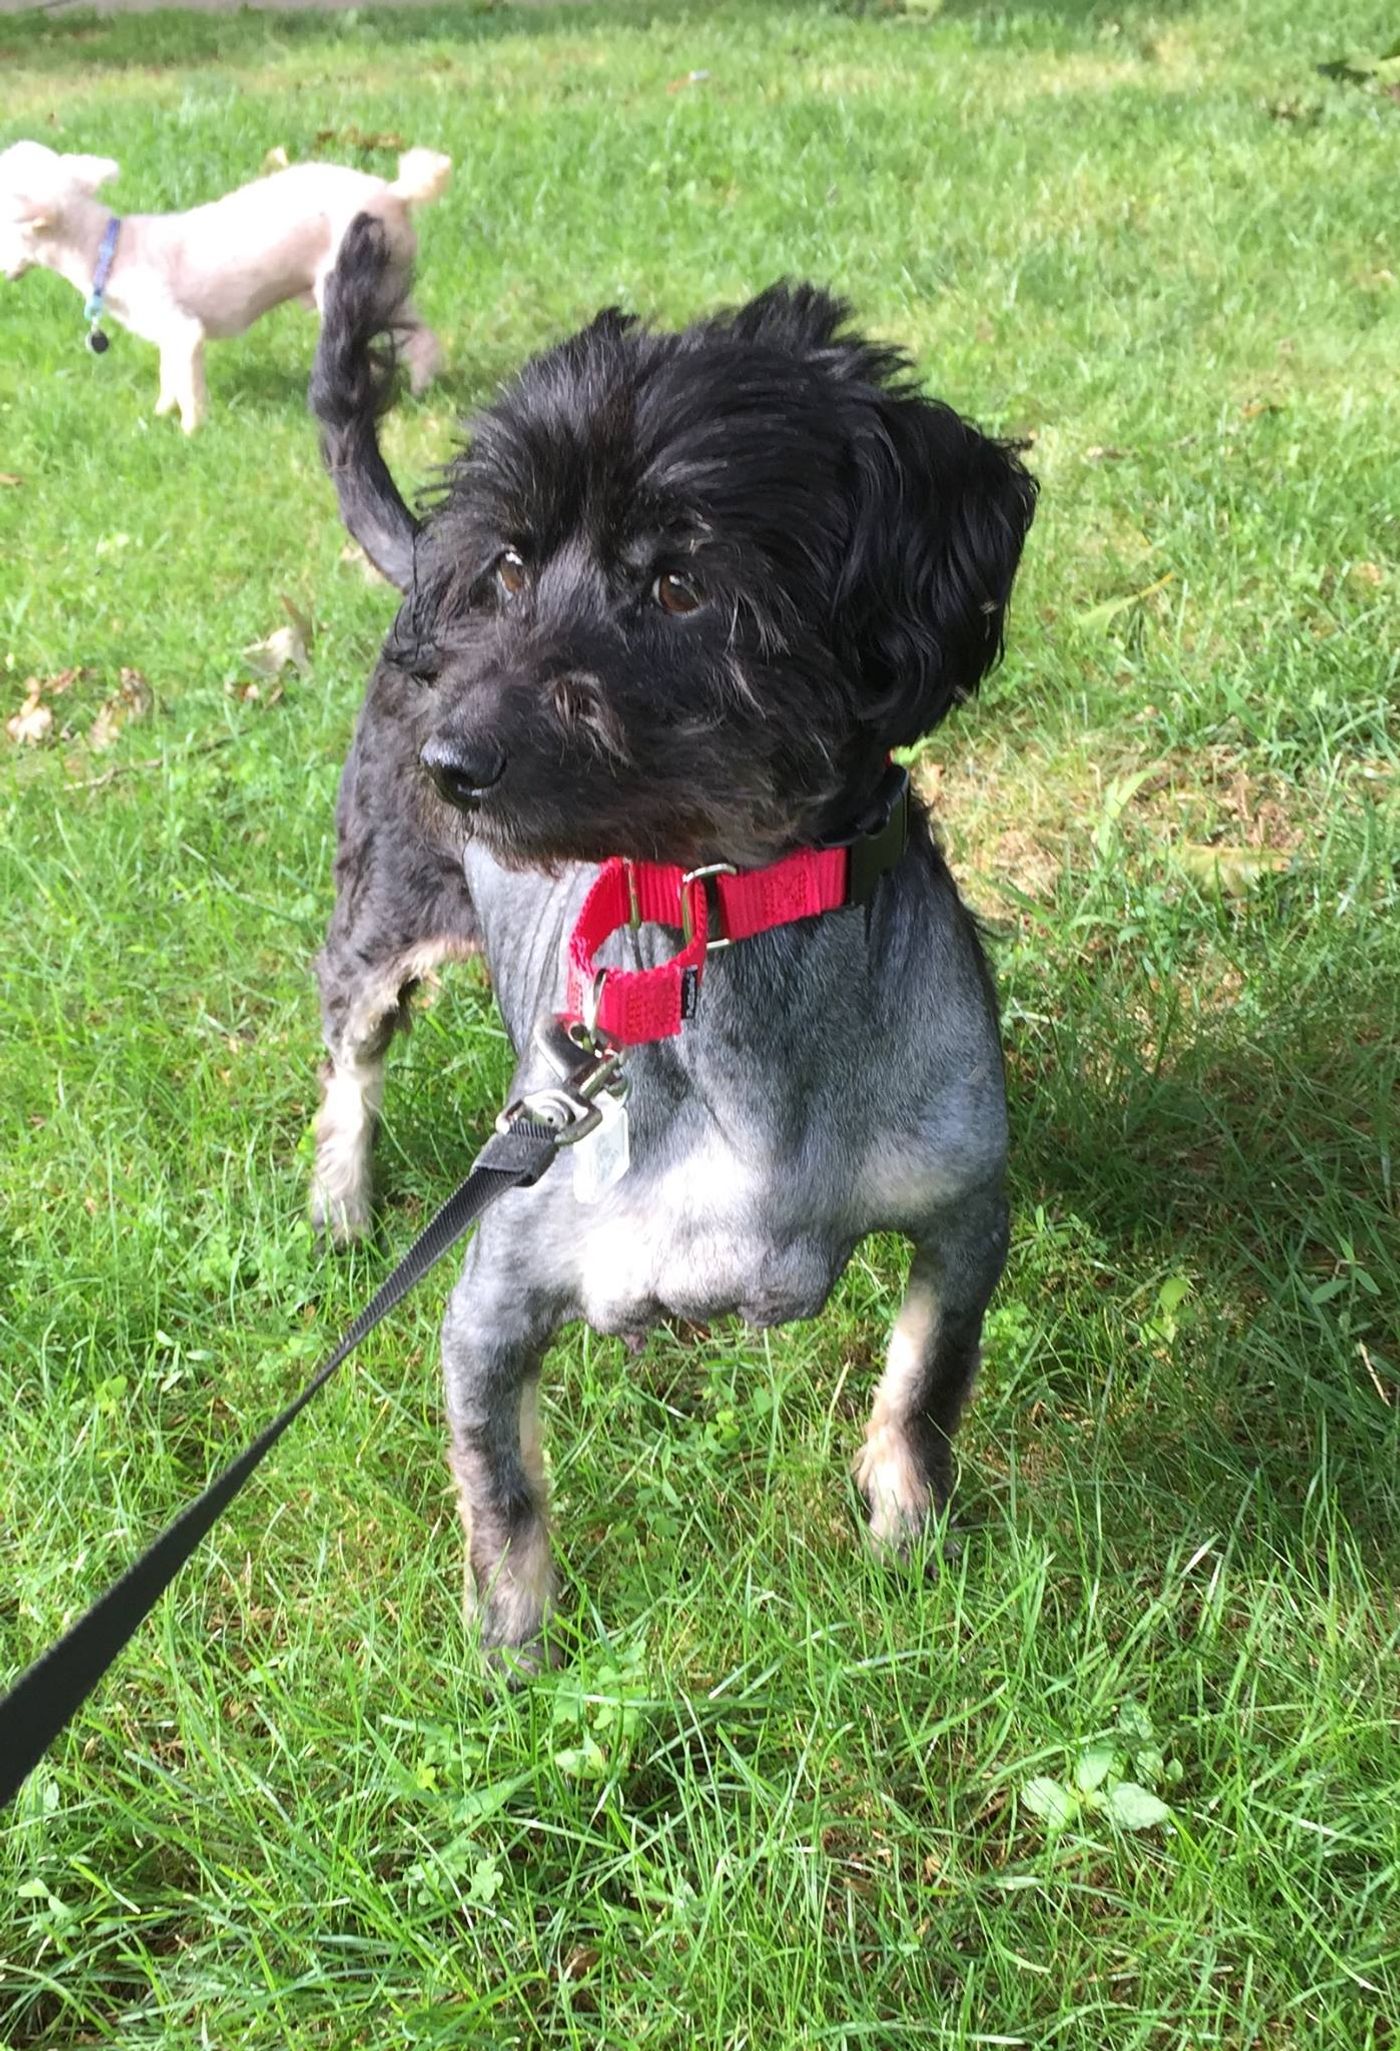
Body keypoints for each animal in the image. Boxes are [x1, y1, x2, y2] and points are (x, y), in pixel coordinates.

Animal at [0, 145, 448, 436]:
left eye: (6, 230)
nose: (3, 271)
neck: (109, 250)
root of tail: (395, 193)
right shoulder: (169, 339)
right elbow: (169, 376)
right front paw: (160, 414)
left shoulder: (182, 331)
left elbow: (188, 387)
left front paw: (190, 431)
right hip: (388, 284)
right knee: (421, 335)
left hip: (352, 286)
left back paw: (411, 391)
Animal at [307, 220, 1033, 1665]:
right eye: (513, 567)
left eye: (684, 580)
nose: (451, 759)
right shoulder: (491, 1294)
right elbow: (503, 1490)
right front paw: (513, 1658)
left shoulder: (965, 1213)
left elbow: (925, 1381)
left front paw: (907, 1532)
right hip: (384, 914)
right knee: (348, 1047)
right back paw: (342, 1197)